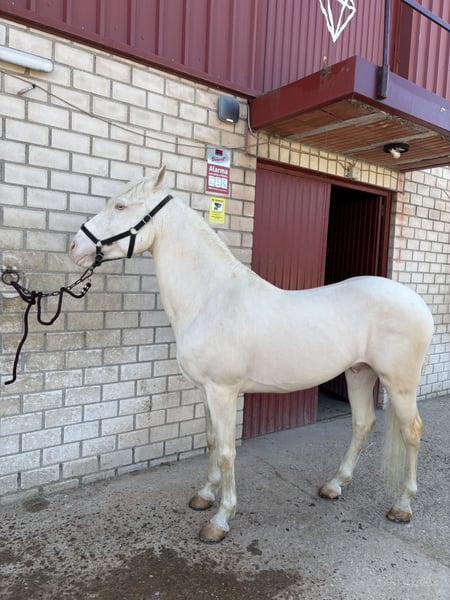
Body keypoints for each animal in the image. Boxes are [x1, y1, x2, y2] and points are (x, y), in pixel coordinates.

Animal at [69, 166, 434, 543]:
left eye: (121, 206)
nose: (75, 247)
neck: (211, 299)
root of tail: (417, 302)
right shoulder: (205, 391)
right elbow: (212, 441)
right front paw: (204, 495)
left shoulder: (223, 391)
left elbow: (227, 451)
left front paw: (220, 519)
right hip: (359, 372)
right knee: (362, 424)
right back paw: (334, 485)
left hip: (399, 382)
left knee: (412, 431)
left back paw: (402, 505)